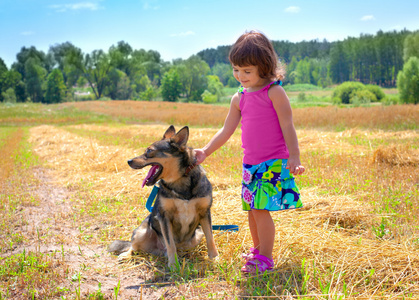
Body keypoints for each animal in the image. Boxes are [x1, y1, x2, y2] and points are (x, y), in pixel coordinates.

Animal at [108, 125, 220, 266]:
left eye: (149, 151)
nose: (128, 161)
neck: (179, 180)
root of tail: (159, 251)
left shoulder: (205, 213)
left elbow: (210, 238)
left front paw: (214, 258)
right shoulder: (164, 216)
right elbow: (170, 243)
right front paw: (174, 265)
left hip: (197, 235)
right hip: (141, 231)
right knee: (133, 247)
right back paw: (126, 255)